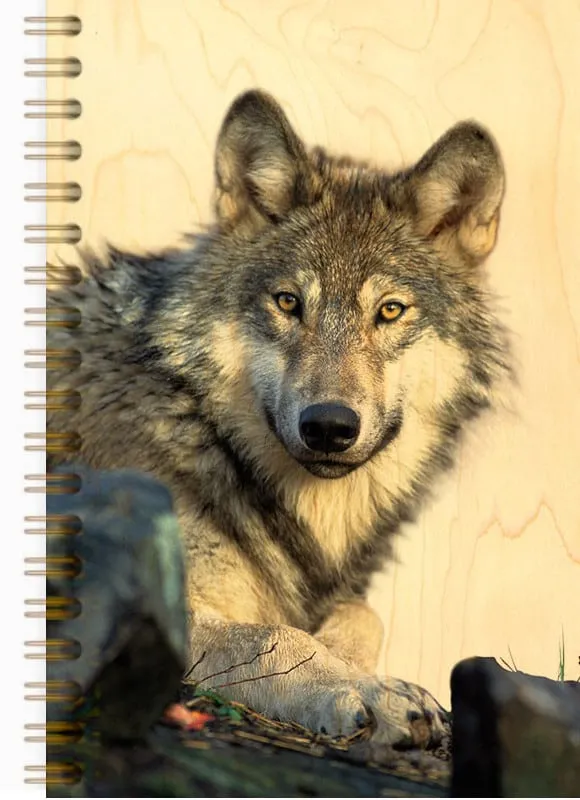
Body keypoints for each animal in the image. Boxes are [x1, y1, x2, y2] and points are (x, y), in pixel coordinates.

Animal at [47, 89, 509, 748]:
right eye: (289, 303)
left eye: (390, 311)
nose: (329, 426)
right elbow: (274, 636)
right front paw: (369, 693)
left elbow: (362, 614)